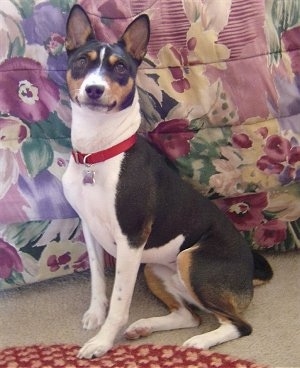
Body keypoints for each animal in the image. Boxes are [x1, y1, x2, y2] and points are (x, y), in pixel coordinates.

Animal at [63, 3, 274, 360]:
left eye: (121, 68)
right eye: (81, 61)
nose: (94, 90)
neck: (98, 153)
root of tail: (249, 273)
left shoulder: (131, 239)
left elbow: (119, 302)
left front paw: (103, 342)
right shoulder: (90, 229)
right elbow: (97, 281)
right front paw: (95, 314)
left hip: (189, 259)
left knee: (237, 324)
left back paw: (200, 342)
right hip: (154, 267)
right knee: (188, 315)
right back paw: (145, 326)